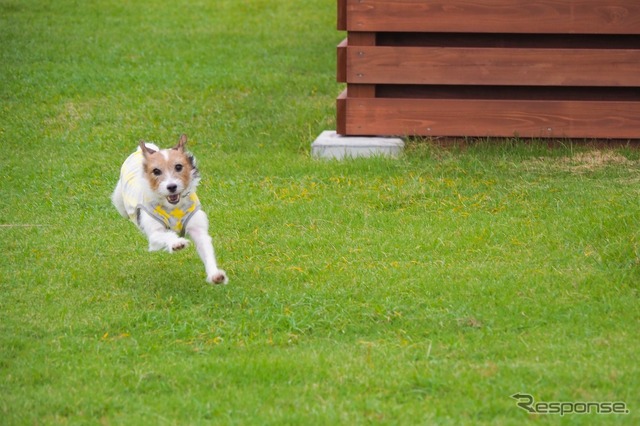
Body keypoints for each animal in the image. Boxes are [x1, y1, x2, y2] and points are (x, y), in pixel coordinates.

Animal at [111, 135, 229, 284]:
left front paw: (215, 274)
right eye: (156, 171)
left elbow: (206, 250)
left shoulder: (198, 230)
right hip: (119, 202)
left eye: (178, 166)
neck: (173, 207)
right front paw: (177, 243)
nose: (172, 186)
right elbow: (166, 235)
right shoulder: (154, 235)